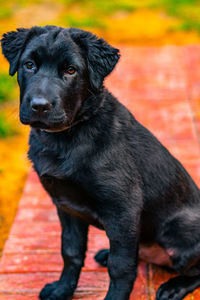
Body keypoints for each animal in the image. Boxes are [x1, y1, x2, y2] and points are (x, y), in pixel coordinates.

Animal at [1, 25, 200, 300]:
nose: (39, 106)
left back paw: (173, 287)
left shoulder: (123, 209)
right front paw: (63, 289)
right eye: (29, 65)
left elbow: (121, 267)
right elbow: (70, 252)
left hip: (177, 230)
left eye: (71, 70)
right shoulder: (66, 205)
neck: (66, 138)